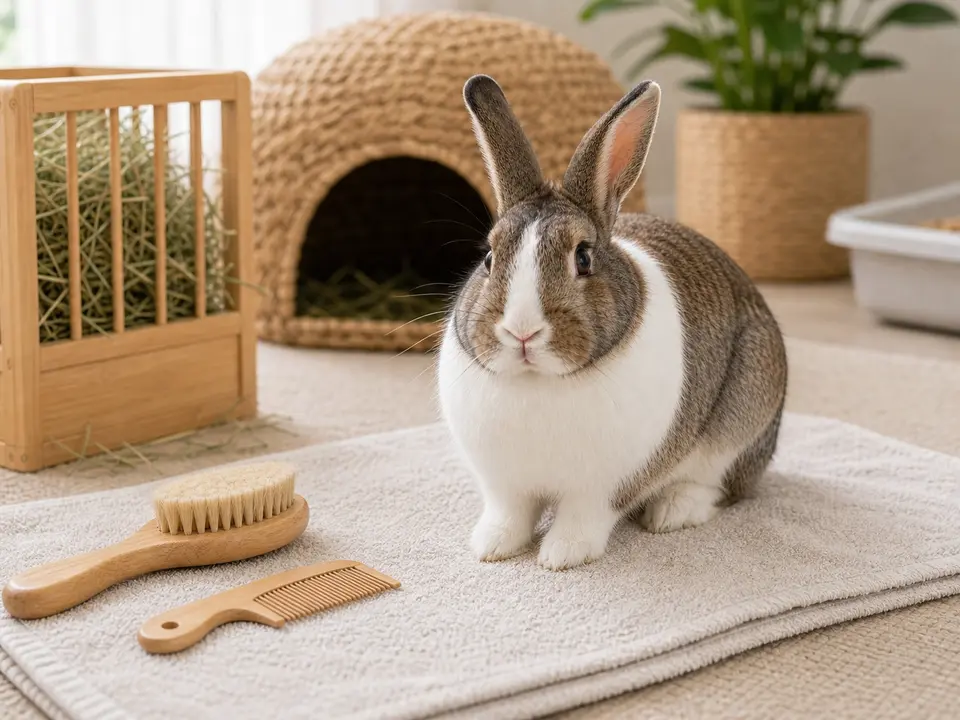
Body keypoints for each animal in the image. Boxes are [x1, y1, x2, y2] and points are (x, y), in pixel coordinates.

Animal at [436, 74, 788, 571]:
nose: (522, 332)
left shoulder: (604, 487)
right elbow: (511, 514)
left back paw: (672, 511)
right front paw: (492, 547)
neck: (538, 381)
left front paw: (561, 556)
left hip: (743, 415)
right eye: (488, 257)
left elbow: (584, 517)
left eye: (583, 258)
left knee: (719, 485)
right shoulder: (505, 486)